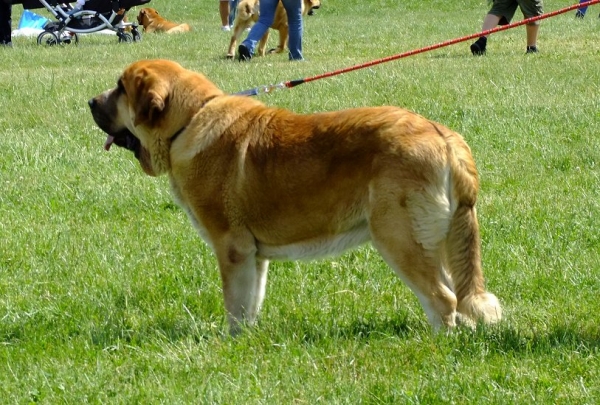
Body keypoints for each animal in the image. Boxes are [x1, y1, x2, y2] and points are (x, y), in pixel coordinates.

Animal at [88, 57, 502, 334]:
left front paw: (230, 341)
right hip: (438, 241)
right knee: (455, 293)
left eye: (120, 88)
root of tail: (443, 135)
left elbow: (234, 302)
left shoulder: (231, 248)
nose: (91, 102)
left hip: (400, 238)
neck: (188, 122)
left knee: (442, 297)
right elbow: (251, 301)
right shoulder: (254, 256)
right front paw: (247, 339)